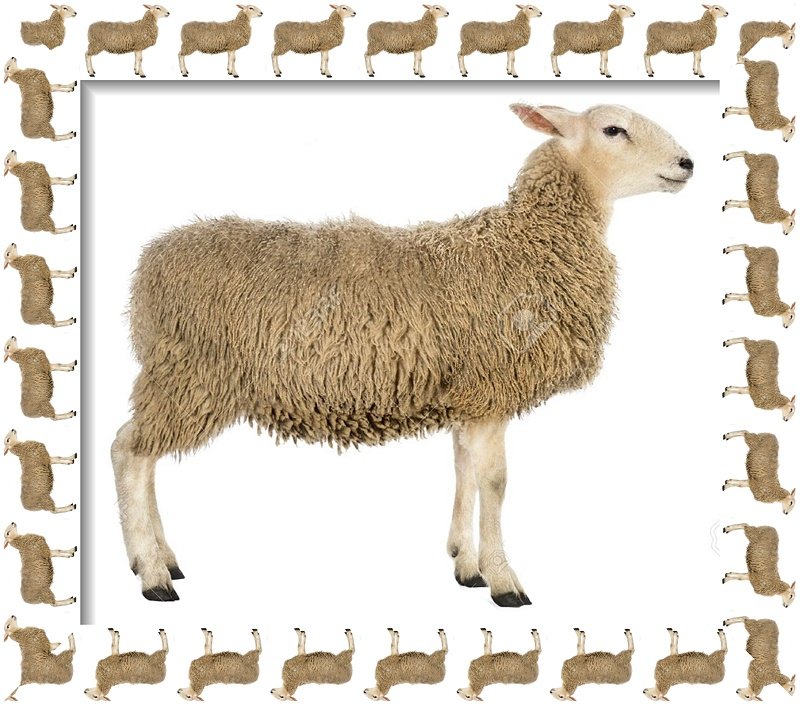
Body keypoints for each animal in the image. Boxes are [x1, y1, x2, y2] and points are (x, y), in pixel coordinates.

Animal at [110, 103, 694, 605]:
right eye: (613, 129)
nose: (687, 163)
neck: (528, 244)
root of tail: (149, 266)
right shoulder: (492, 387)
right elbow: (495, 482)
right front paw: (505, 581)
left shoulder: (467, 394)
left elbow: (463, 470)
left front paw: (467, 566)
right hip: (192, 374)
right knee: (130, 453)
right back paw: (153, 575)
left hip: (175, 374)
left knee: (140, 453)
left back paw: (160, 557)